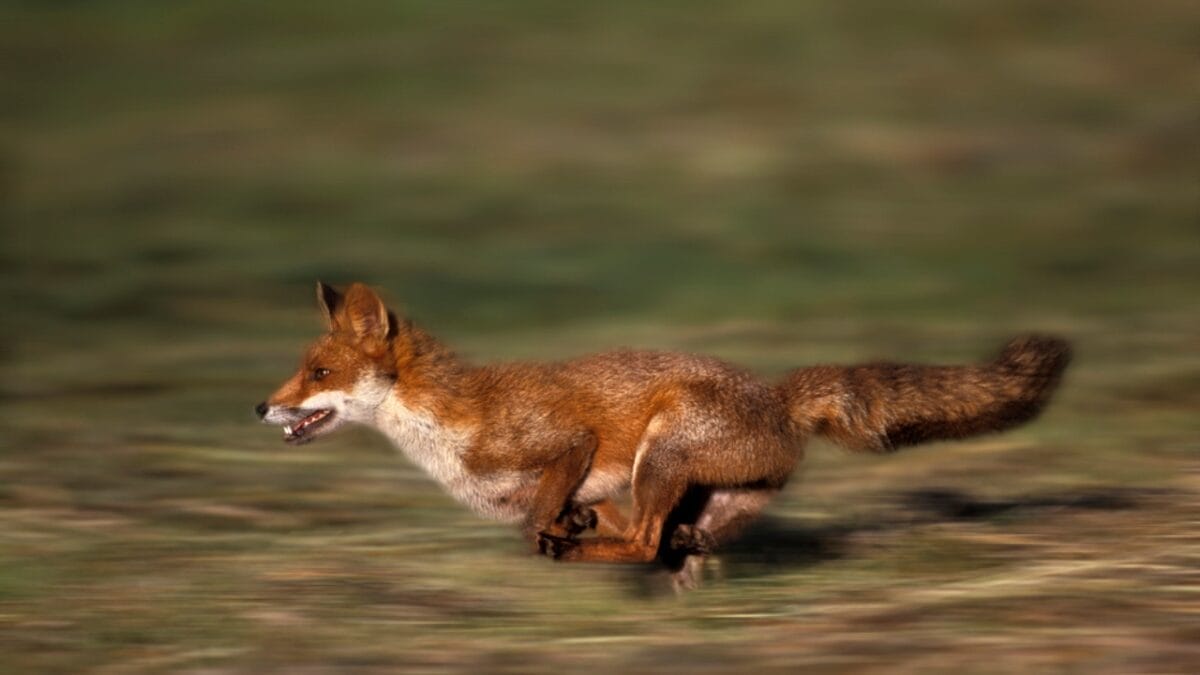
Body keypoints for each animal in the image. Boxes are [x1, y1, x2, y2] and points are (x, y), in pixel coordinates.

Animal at [257, 282, 1070, 584]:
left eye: (318, 372)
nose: (260, 407)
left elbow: (540, 509)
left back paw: (595, 552)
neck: (448, 436)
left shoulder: (569, 443)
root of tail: (778, 397)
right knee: (678, 543)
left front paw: (557, 532)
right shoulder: (604, 490)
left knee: (649, 541)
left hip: (663, 452)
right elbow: (558, 517)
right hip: (695, 490)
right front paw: (568, 530)